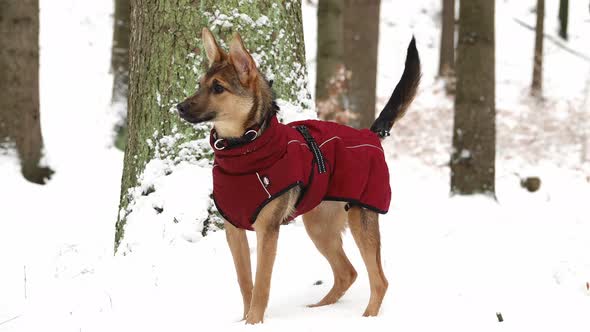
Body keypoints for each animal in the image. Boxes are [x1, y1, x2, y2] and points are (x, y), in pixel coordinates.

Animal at [177, 28, 420, 324]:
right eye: (200, 84)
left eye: (218, 88)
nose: (179, 107)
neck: (243, 150)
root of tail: (370, 134)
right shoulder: (234, 230)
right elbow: (245, 282)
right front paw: (244, 320)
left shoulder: (267, 230)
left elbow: (262, 283)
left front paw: (254, 321)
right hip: (319, 225)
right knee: (347, 272)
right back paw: (319, 309)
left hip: (360, 217)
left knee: (379, 280)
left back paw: (367, 318)